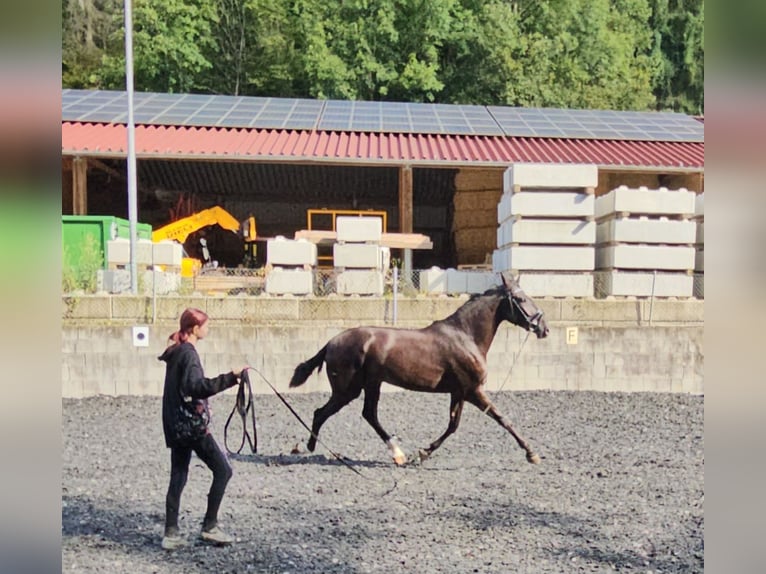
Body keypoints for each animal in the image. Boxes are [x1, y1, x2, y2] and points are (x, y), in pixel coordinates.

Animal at [289, 274, 549, 465]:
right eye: (520, 299)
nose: (544, 328)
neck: (465, 336)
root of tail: (331, 342)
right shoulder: (473, 390)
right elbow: (501, 418)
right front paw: (531, 454)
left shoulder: (459, 392)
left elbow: (453, 425)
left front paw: (422, 453)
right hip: (348, 390)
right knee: (322, 413)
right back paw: (309, 447)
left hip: (372, 384)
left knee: (368, 414)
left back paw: (397, 454)